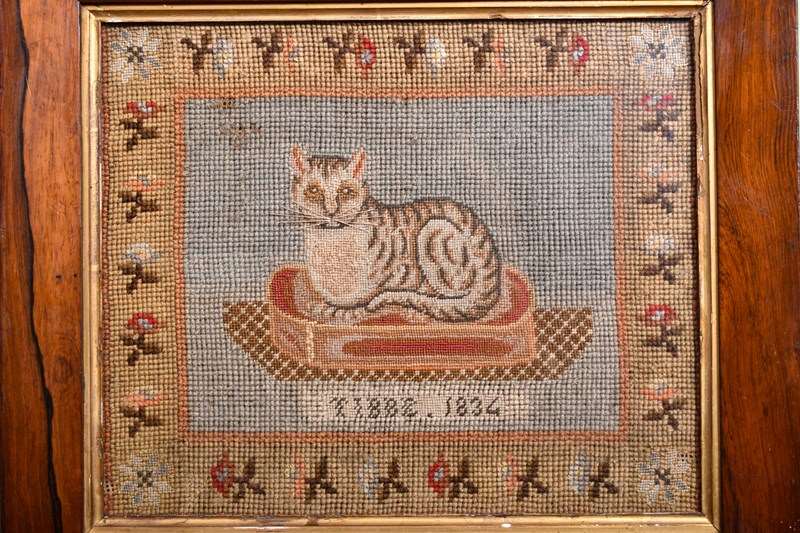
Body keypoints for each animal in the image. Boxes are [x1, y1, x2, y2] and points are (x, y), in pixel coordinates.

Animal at [288, 144, 502, 323]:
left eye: (346, 191)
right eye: (314, 190)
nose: (331, 212)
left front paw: (347, 310)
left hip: (434, 230)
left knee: (452, 295)